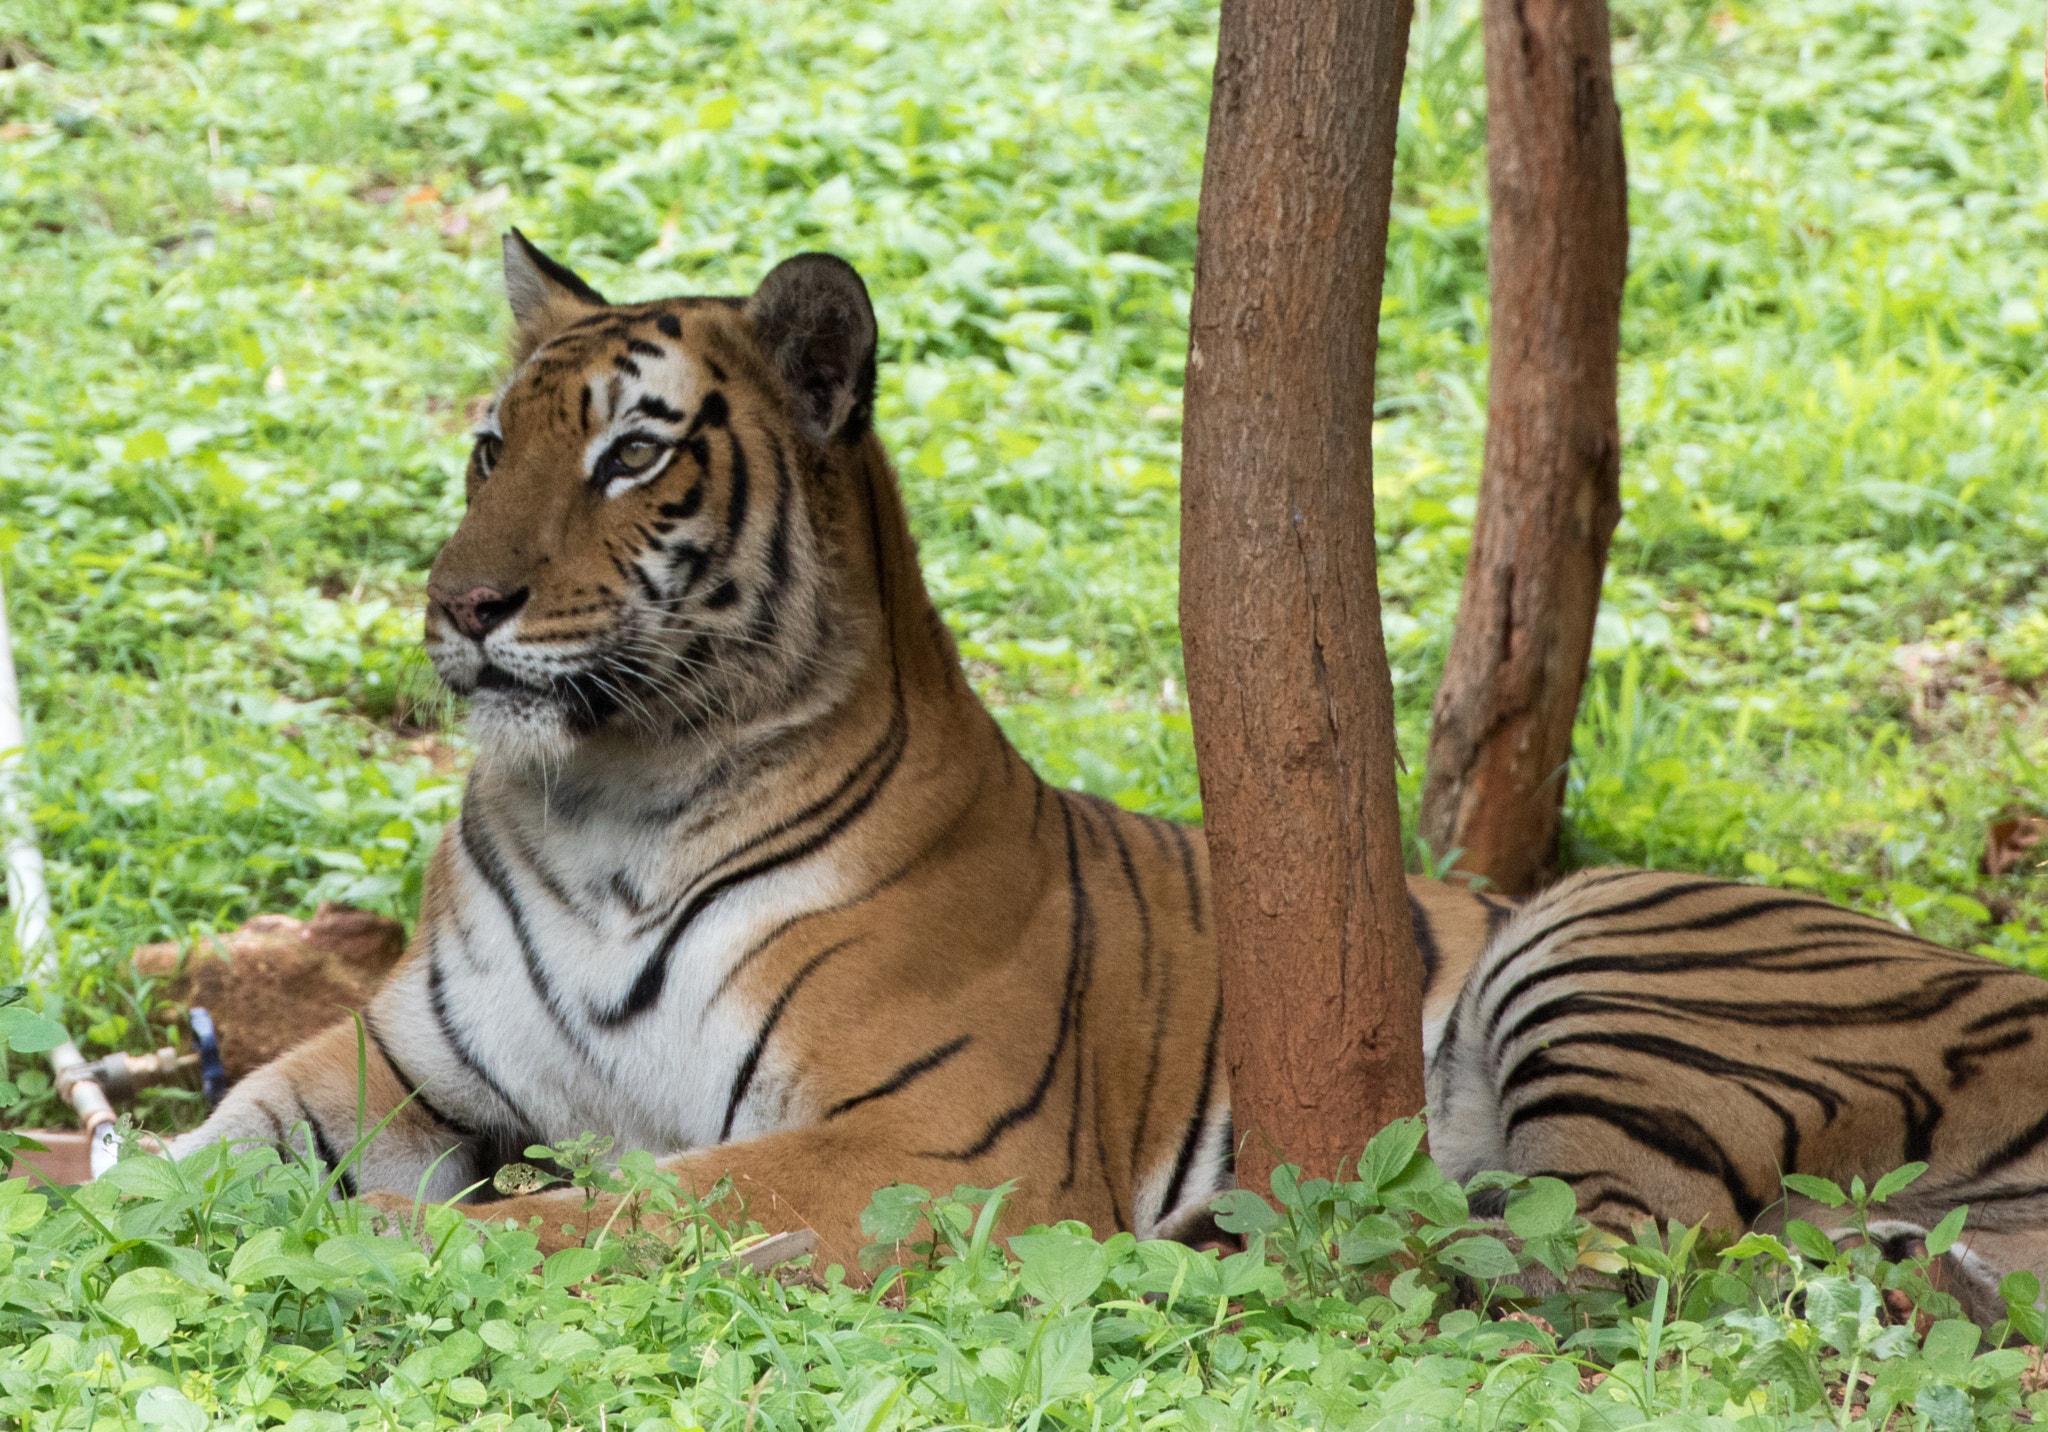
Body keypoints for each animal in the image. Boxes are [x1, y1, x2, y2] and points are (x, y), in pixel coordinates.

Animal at [166, 234, 2048, 1318]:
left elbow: (603, 1214)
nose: (458, 606)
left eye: (631, 454)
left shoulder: (925, 1137)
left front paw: (388, 1253)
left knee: (1576, 1257)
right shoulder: (388, 1067)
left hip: (1599, 952)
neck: (607, 801)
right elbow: (195, 1160)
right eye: (491, 448)